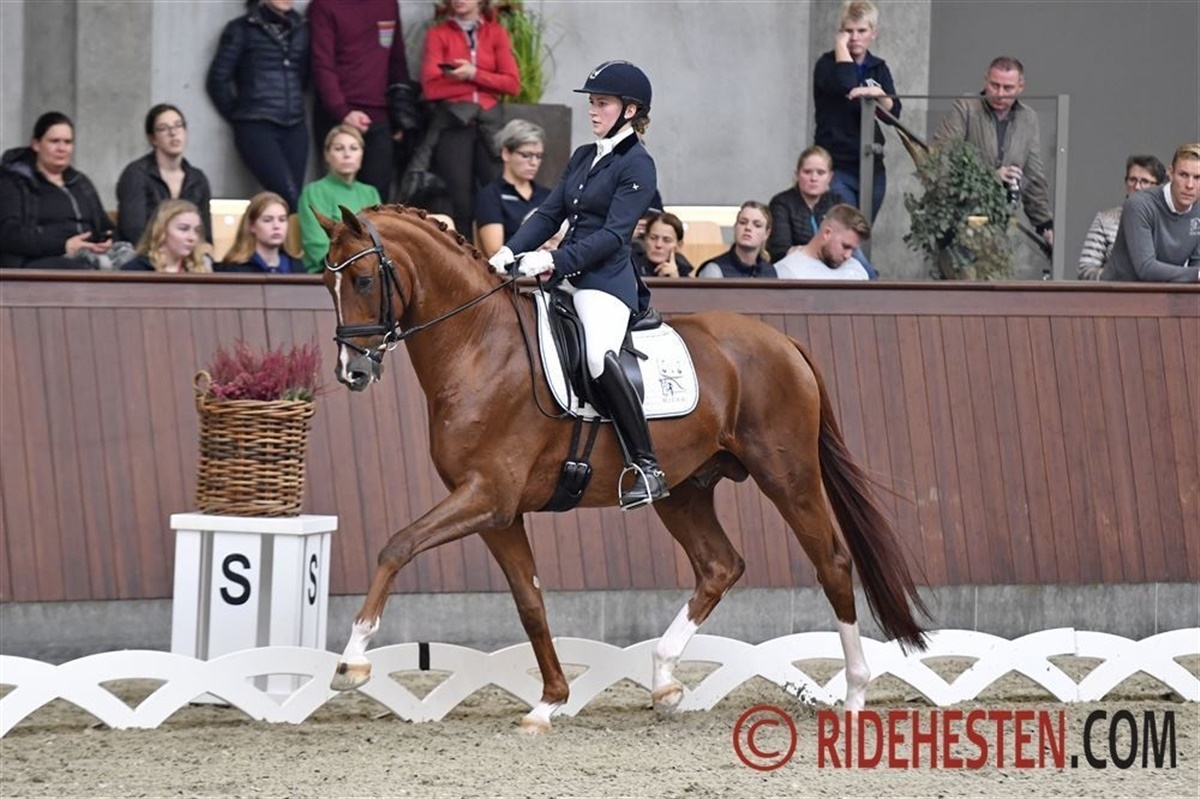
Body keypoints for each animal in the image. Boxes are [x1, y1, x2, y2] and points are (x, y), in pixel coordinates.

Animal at [318, 205, 929, 733]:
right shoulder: (498, 513)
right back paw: (664, 680)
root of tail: (782, 340)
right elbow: (530, 601)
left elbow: (396, 546)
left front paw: (351, 663)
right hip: (683, 490)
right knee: (719, 566)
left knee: (831, 563)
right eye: (328, 285)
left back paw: (854, 695)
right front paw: (549, 703)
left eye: (364, 281)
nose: (352, 372)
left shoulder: (486, 496)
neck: (479, 346)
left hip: (788, 475)